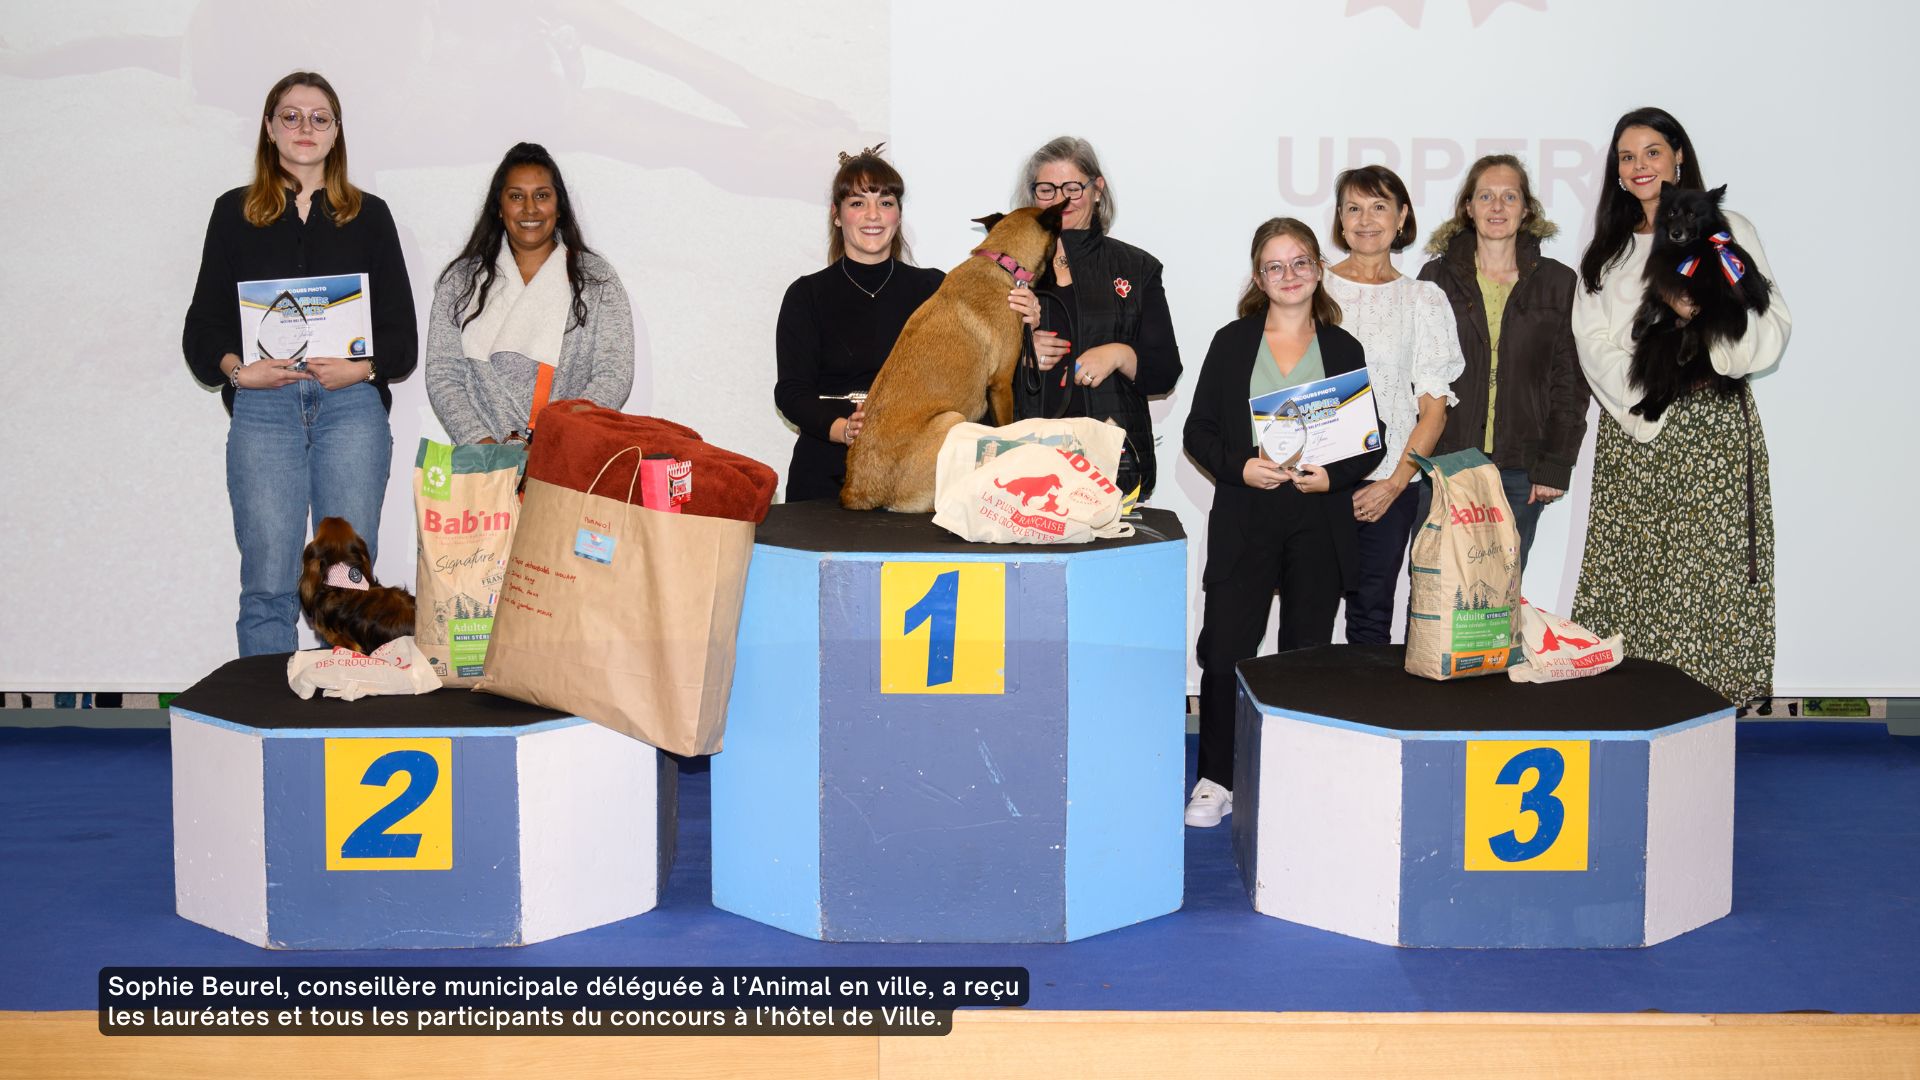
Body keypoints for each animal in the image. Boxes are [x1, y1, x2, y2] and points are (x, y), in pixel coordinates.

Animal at [848, 202, 1075, 511]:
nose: (1059, 282)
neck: (1002, 261)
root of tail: (858, 492)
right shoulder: (1002, 384)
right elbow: (1008, 427)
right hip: (952, 418)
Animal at [1628, 180, 1774, 420]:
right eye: (1672, 213)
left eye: (1692, 215)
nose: (1675, 233)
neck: (1689, 251)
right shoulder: (1666, 282)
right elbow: (1651, 300)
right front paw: (1638, 327)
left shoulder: (1721, 303)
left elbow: (1696, 322)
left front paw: (1686, 349)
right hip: (1657, 342)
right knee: (1663, 375)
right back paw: (1644, 403)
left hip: (1700, 356)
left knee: (1677, 384)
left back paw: (1654, 409)